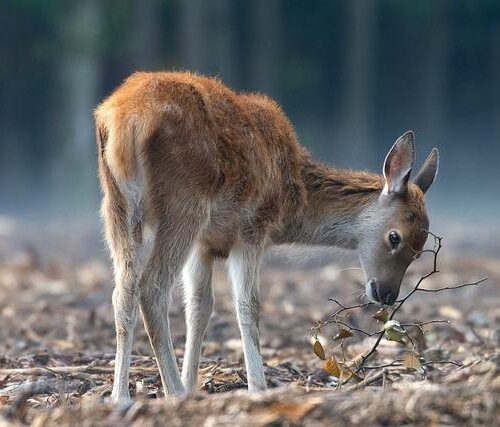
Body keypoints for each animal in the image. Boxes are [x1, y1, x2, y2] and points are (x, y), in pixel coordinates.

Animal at [94, 71, 438, 404]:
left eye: (420, 250)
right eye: (395, 237)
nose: (387, 294)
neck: (293, 198)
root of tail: (124, 120)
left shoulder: (204, 243)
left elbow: (199, 307)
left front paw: (193, 384)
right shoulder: (252, 229)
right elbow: (249, 306)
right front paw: (257, 388)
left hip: (116, 206)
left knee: (123, 292)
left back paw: (121, 397)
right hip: (184, 205)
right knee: (152, 287)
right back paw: (172, 393)